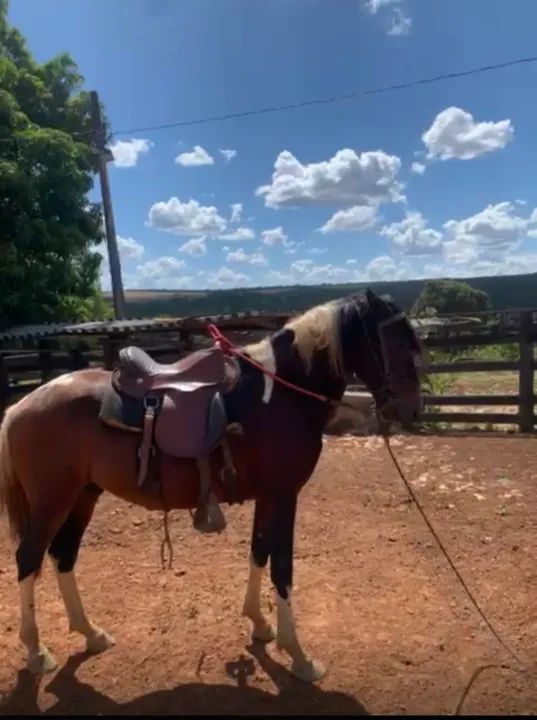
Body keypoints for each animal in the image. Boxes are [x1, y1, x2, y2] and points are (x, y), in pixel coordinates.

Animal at [0, 288, 423, 683]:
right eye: (398, 342)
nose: (411, 410)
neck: (282, 394)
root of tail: (20, 407)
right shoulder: (284, 495)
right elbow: (282, 568)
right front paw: (299, 657)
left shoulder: (268, 497)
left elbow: (258, 553)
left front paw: (259, 624)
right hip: (53, 501)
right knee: (29, 559)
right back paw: (37, 652)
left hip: (83, 496)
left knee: (63, 556)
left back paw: (91, 633)